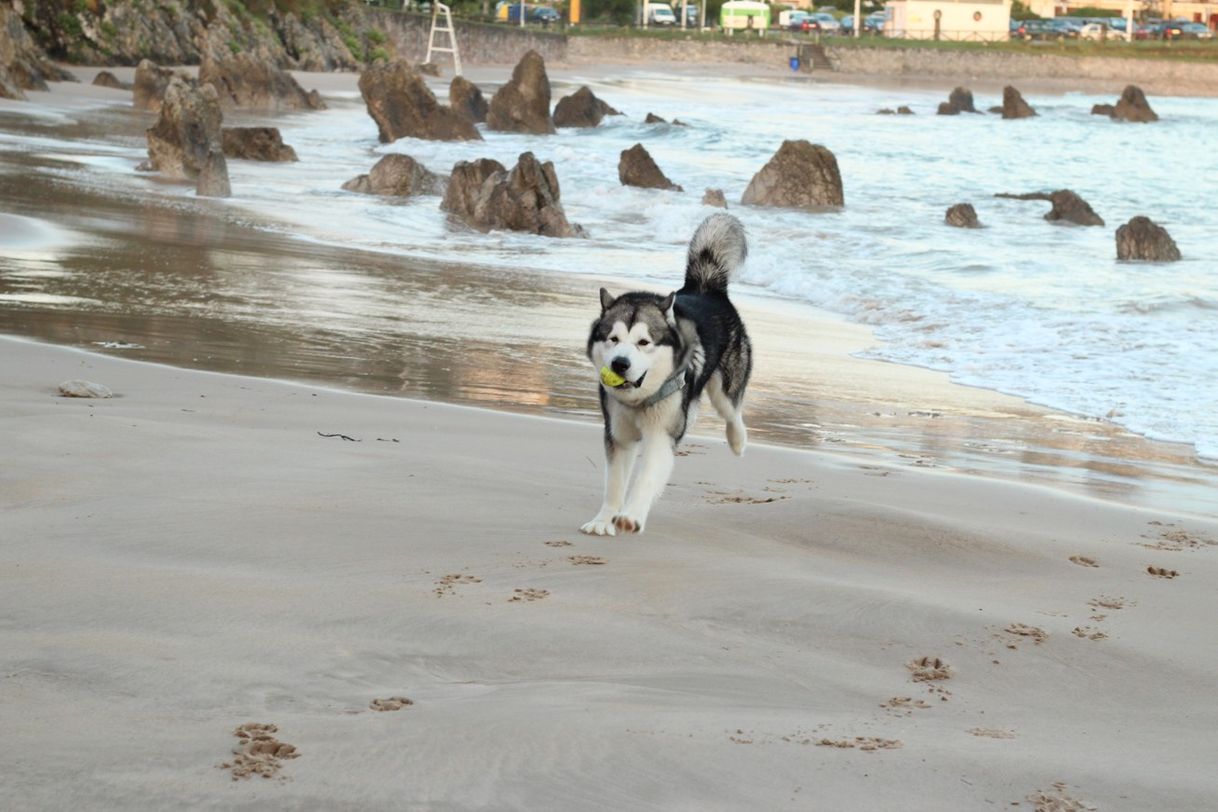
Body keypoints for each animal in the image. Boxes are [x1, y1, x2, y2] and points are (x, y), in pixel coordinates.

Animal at [582, 213, 750, 535]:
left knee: (732, 411)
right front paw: (603, 520)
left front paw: (630, 515)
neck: (639, 400)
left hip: (725, 386)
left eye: (643, 342)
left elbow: (646, 478)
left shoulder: (660, 437)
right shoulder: (618, 436)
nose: (620, 364)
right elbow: (614, 484)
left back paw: (738, 441)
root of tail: (704, 288)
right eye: (613, 339)